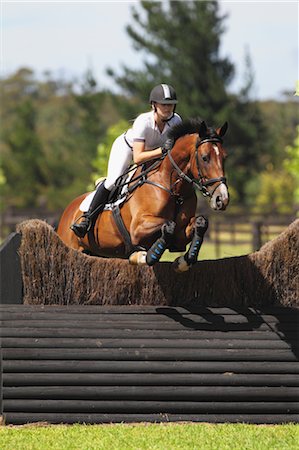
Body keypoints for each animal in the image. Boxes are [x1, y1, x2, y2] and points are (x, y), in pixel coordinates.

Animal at [56, 118, 230, 270]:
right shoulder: (138, 229)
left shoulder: (181, 233)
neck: (172, 188)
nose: (222, 198)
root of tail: (68, 210)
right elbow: (169, 225)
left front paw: (184, 262)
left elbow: (200, 222)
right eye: (205, 158)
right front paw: (144, 256)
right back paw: (81, 225)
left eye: (224, 157)